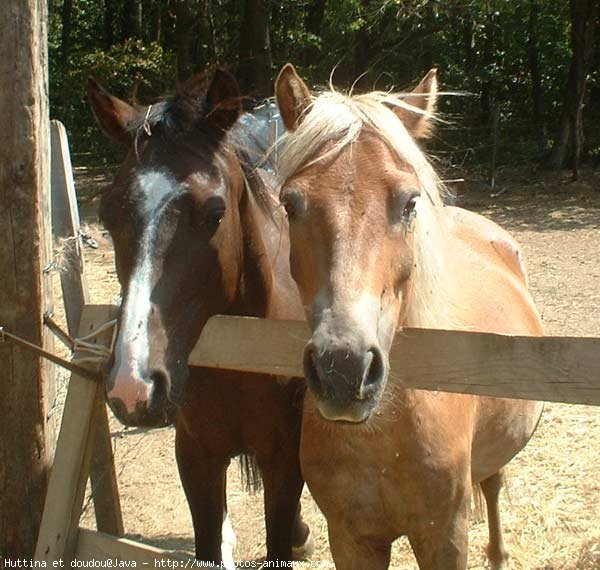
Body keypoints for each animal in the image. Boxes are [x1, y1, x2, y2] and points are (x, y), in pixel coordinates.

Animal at [274, 64, 548, 564]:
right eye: (290, 203)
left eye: (409, 203)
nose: (343, 370)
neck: (382, 435)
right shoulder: (351, 539)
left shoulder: (444, 537)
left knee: (494, 483)